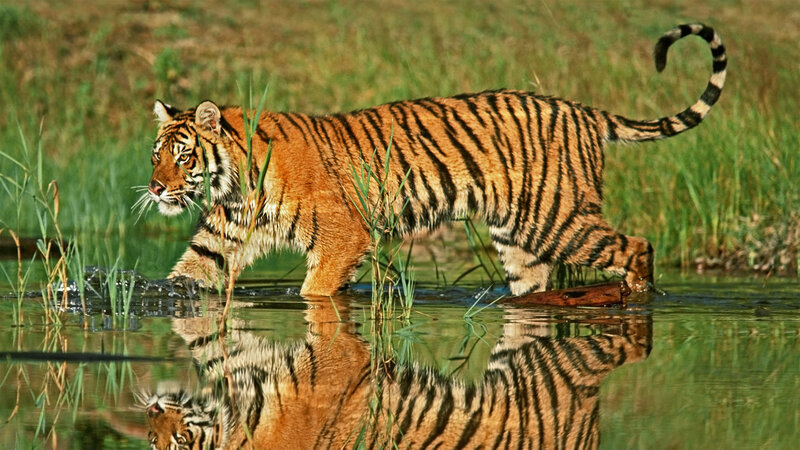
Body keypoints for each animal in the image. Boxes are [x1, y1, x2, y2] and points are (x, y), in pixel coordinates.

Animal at [140, 24, 727, 297]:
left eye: (183, 155)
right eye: (156, 155)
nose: (156, 188)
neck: (234, 186)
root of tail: (582, 109)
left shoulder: (343, 234)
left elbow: (315, 291)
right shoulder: (219, 242)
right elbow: (187, 275)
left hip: (560, 219)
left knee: (636, 246)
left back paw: (638, 297)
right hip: (520, 238)